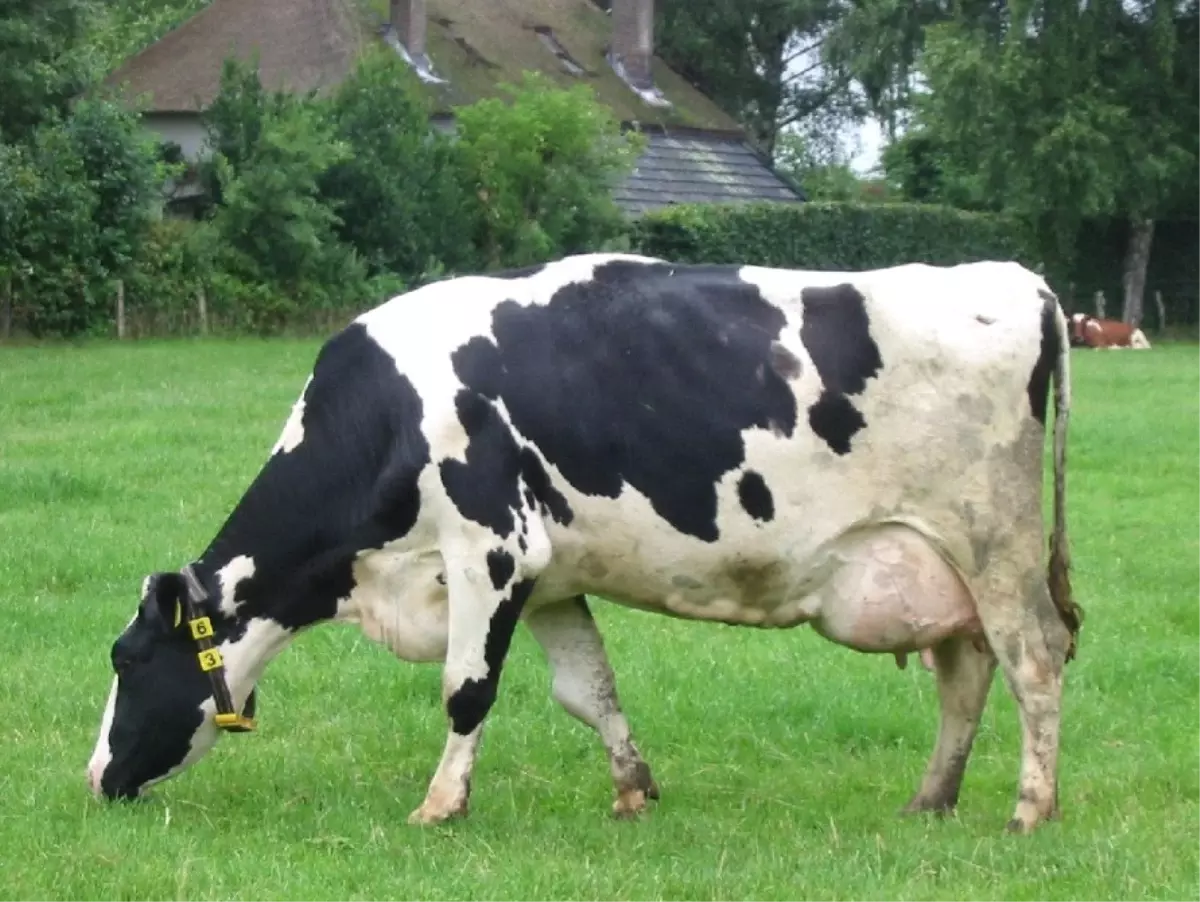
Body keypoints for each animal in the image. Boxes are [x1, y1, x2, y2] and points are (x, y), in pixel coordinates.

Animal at [84, 251, 1080, 830]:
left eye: (127, 660)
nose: (95, 776)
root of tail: (1019, 277)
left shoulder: (492, 553)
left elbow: (466, 692)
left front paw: (439, 806)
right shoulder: (551, 577)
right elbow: (587, 691)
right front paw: (634, 788)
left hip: (994, 541)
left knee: (1032, 660)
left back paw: (1030, 810)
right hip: (942, 563)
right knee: (966, 672)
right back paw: (931, 799)